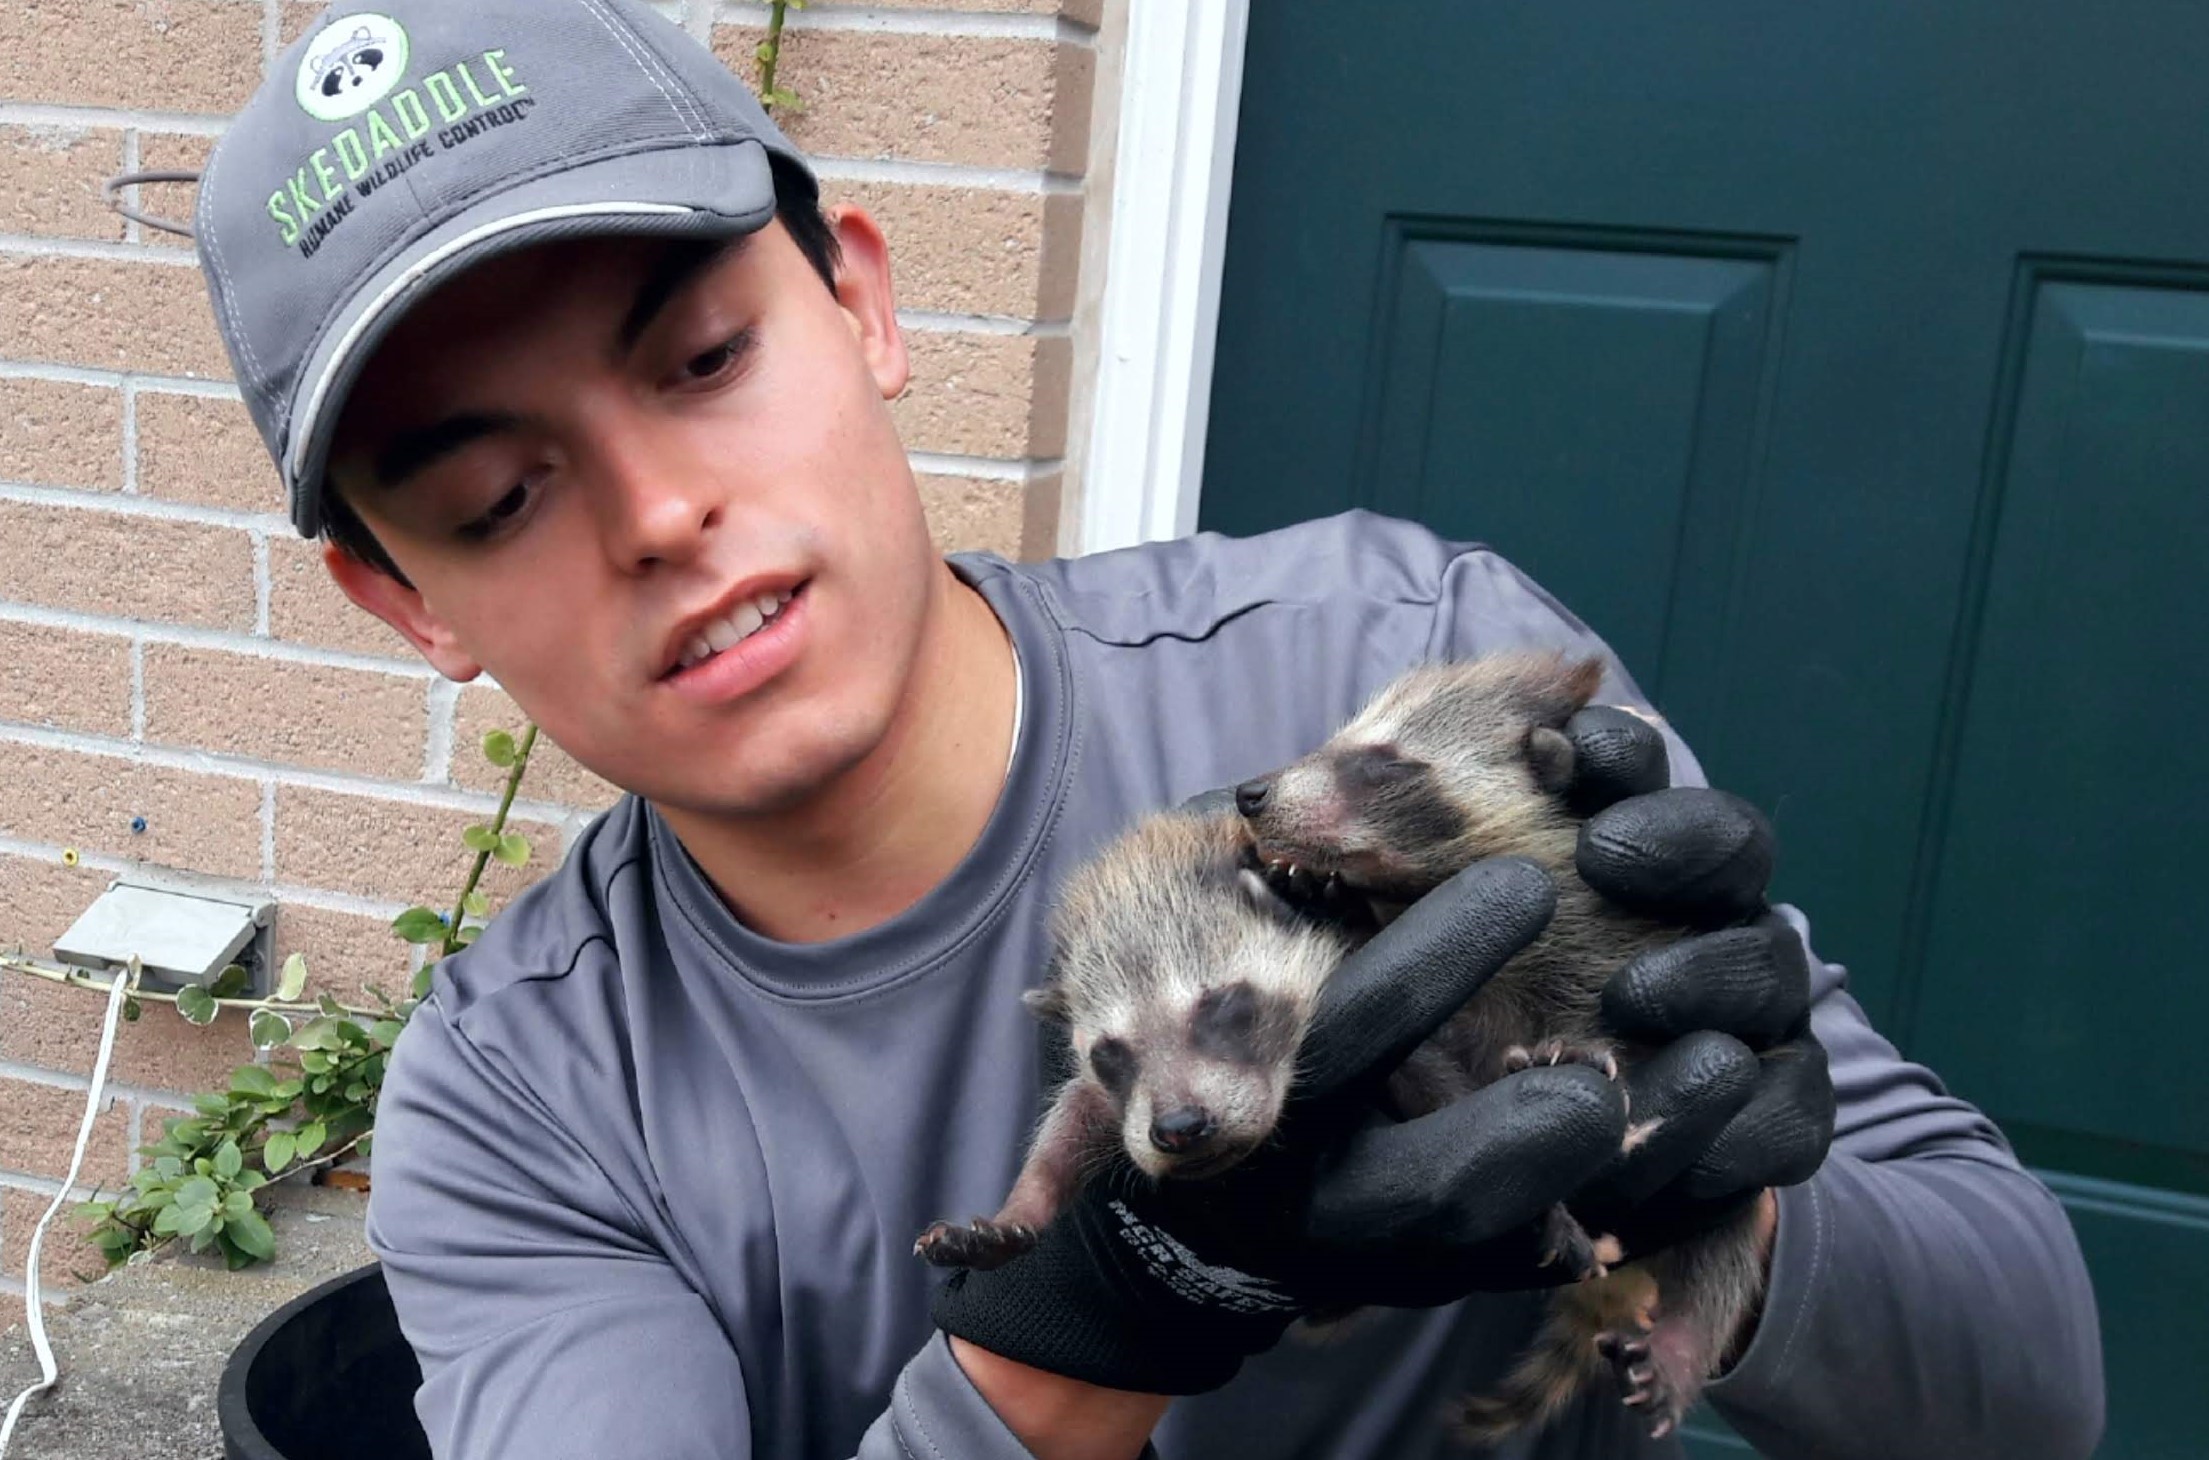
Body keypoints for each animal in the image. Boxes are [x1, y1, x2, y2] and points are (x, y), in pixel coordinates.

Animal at [1254, 653, 1767, 1448]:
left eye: (1381, 765)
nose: (1250, 794)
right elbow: (1426, 1070)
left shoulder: (1604, 944)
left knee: (1727, 1242)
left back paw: (1685, 1342)